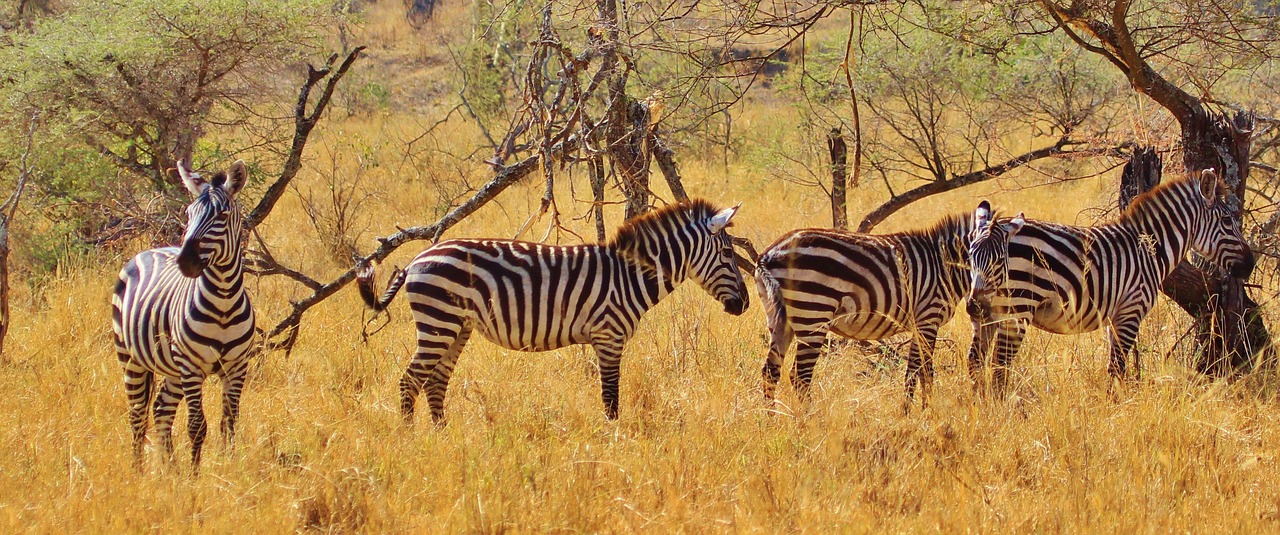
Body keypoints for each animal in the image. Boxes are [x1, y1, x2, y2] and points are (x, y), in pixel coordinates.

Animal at [112, 159, 257, 473]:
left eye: (222, 215)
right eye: (189, 214)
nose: (185, 262)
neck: (223, 301)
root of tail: (149, 250)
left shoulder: (237, 366)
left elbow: (229, 422)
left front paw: (226, 468)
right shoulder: (192, 366)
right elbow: (196, 425)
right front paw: (194, 476)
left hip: (173, 368)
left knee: (161, 410)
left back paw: (170, 469)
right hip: (131, 358)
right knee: (137, 415)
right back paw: (138, 471)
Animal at [355, 198, 747, 424]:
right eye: (728, 254)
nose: (743, 305)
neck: (629, 276)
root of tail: (416, 259)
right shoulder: (608, 336)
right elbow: (611, 399)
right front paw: (614, 444)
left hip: (457, 326)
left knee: (435, 382)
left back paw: (442, 437)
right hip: (438, 321)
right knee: (410, 382)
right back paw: (410, 440)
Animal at [747, 207, 1018, 407]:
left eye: (999, 260)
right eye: (970, 257)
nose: (976, 307)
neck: (943, 266)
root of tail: (767, 255)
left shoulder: (919, 324)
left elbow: (915, 371)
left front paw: (912, 412)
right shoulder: (928, 318)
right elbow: (923, 371)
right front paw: (925, 413)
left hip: (780, 319)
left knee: (770, 371)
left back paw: (772, 420)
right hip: (813, 312)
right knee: (800, 376)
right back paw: (809, 422)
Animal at [962, 168, 1254, 394]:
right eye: (1227, 220)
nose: (1250, 265)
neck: (1150, 250)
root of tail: (996, 229)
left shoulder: (1115, 317)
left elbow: (1114, 367)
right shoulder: (1131, 311)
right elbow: (1118, 367)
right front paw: (1119, 409)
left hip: (985, 311)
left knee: (976, 362)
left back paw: (981, 409)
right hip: (1018, 308)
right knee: (1000, 366)